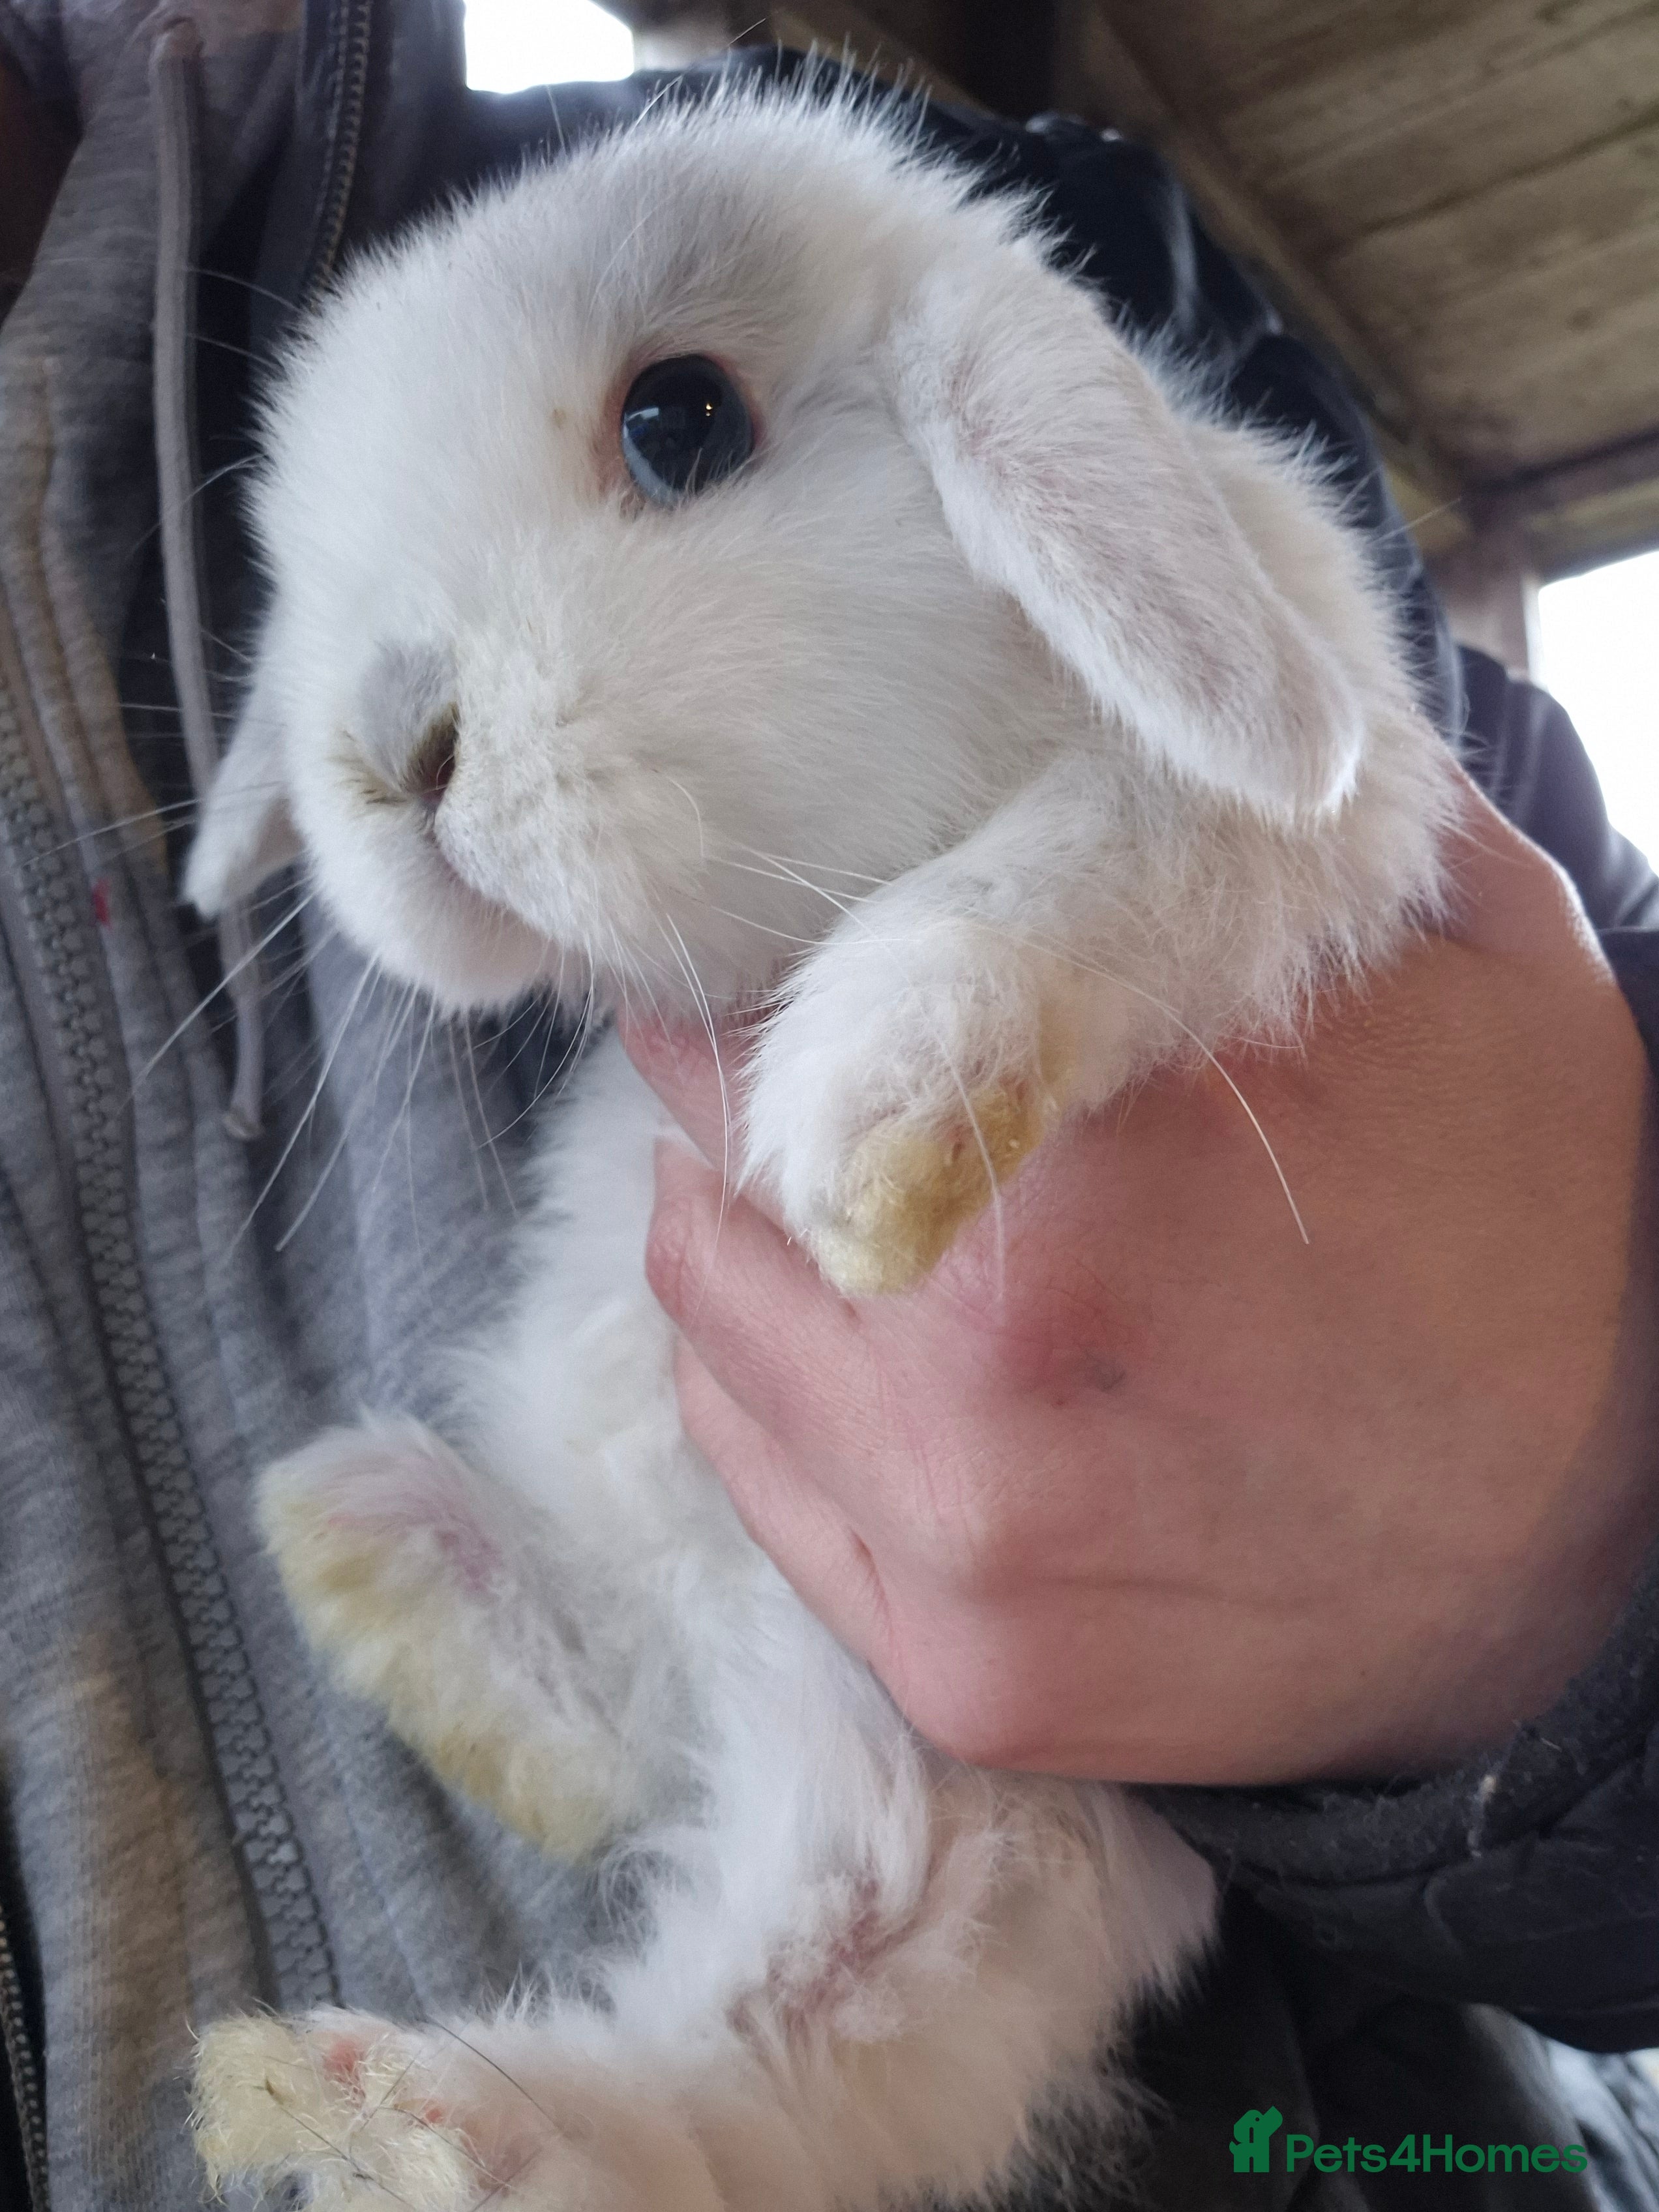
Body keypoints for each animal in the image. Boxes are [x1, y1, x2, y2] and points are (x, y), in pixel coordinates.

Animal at [184, 75, 1457, 2212]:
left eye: (679, 420)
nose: (384, 748)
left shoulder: (1282, 831)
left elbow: (1112, 846)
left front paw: (859, 1130)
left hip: (932, 1807)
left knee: (756, 2054)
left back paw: (408, 2110)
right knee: (628, 1778)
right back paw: (370, 1585)